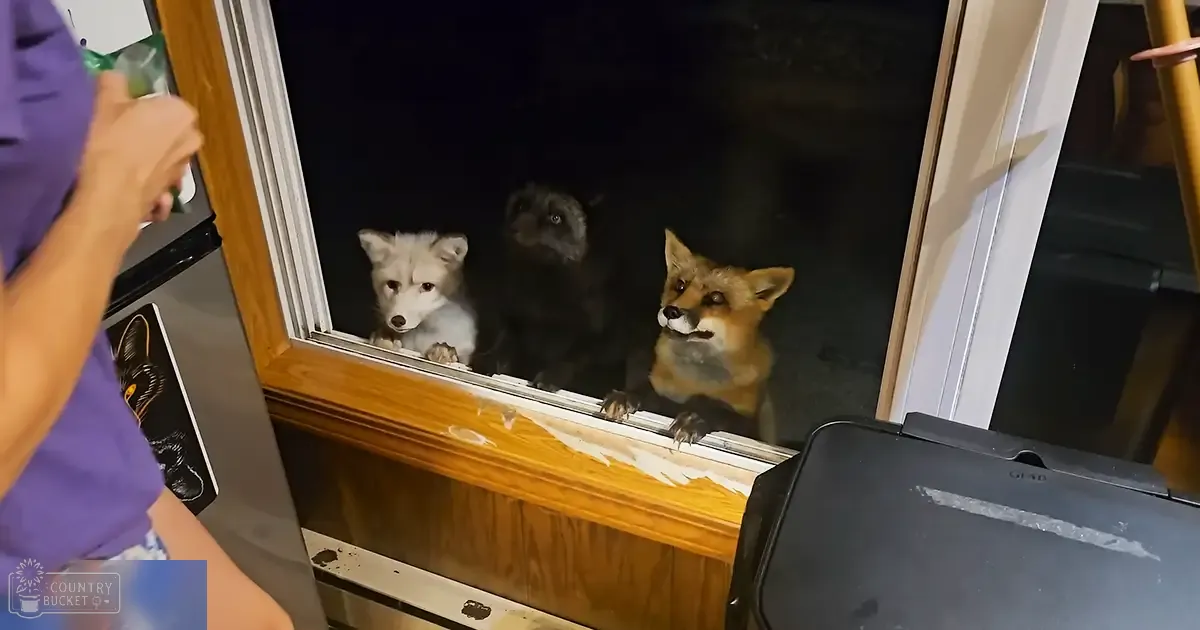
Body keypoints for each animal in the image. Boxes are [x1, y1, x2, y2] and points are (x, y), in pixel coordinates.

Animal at [600, 229, 793, 445]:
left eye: (716, 298)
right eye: (680, 286)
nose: (670, 311)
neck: (693, 380)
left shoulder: (747, 421)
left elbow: (719, 410)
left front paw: (693, 419)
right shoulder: (663, 391)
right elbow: (646, 390)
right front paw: (625, 396)